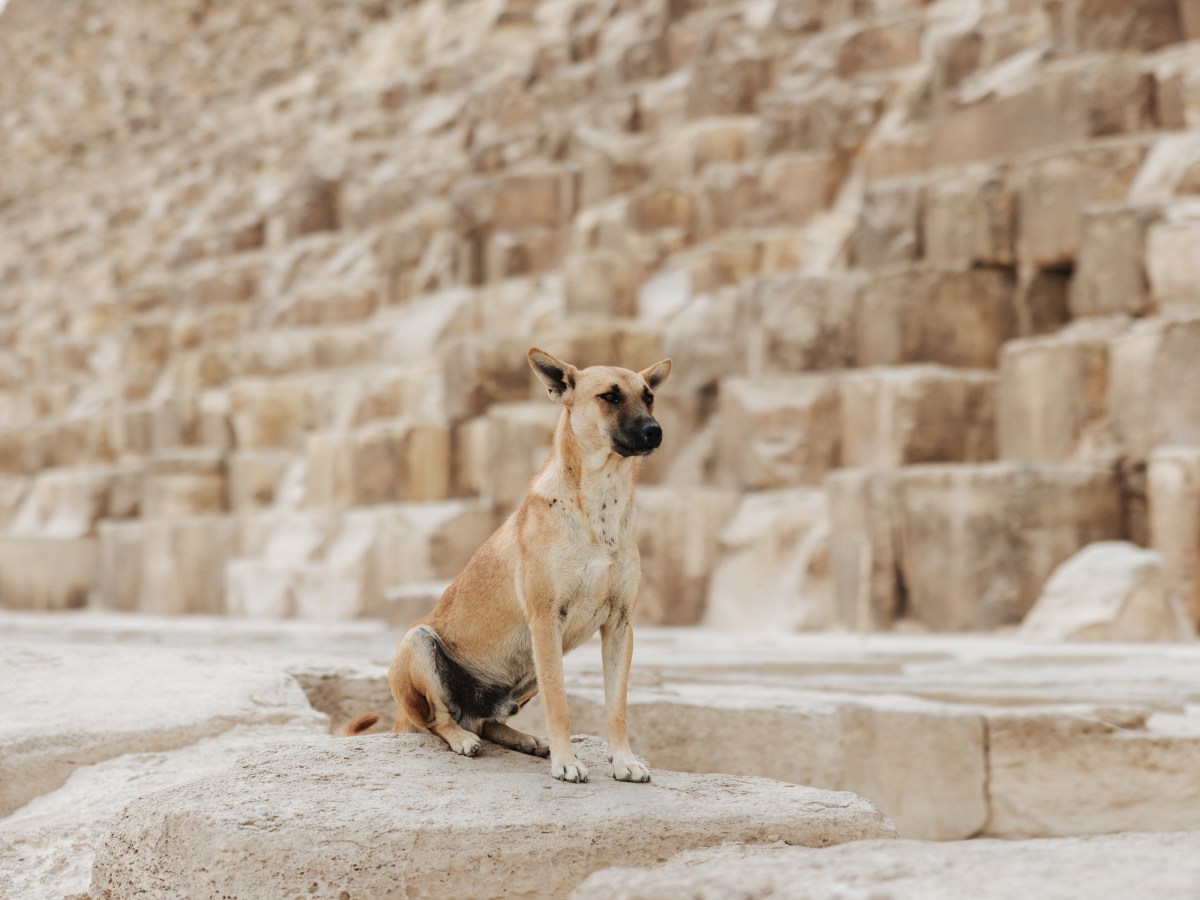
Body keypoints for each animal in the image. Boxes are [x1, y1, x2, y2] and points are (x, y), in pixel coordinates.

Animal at [343, 345, 672, 782]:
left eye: (648, 396)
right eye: (610, 396)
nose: (655, 431)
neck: (599, 506)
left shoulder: (619, 625)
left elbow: (616, 707)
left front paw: (622, 760)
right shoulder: (546, 622)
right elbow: (560, 705)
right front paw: (567, 762)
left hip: (524, 670)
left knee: (488, 721)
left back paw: (524, 739)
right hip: (419, 644)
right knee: (439, 721)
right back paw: (463, 739)